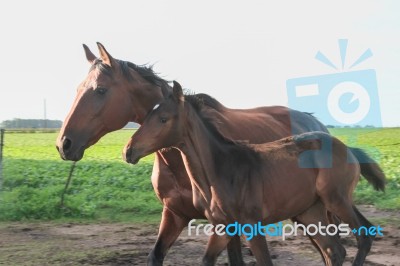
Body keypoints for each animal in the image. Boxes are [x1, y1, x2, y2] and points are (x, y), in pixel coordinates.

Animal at [125, 81, 378, 266]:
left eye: (163, 118)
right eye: (146, 116)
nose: (128, 150)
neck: (220, 171)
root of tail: (347, 148)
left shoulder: (251, 225)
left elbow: (264, 261)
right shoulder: (222, 227)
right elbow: (208, 260)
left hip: (337, 200)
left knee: (363, 235)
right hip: (309, 212)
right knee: (334, 250)